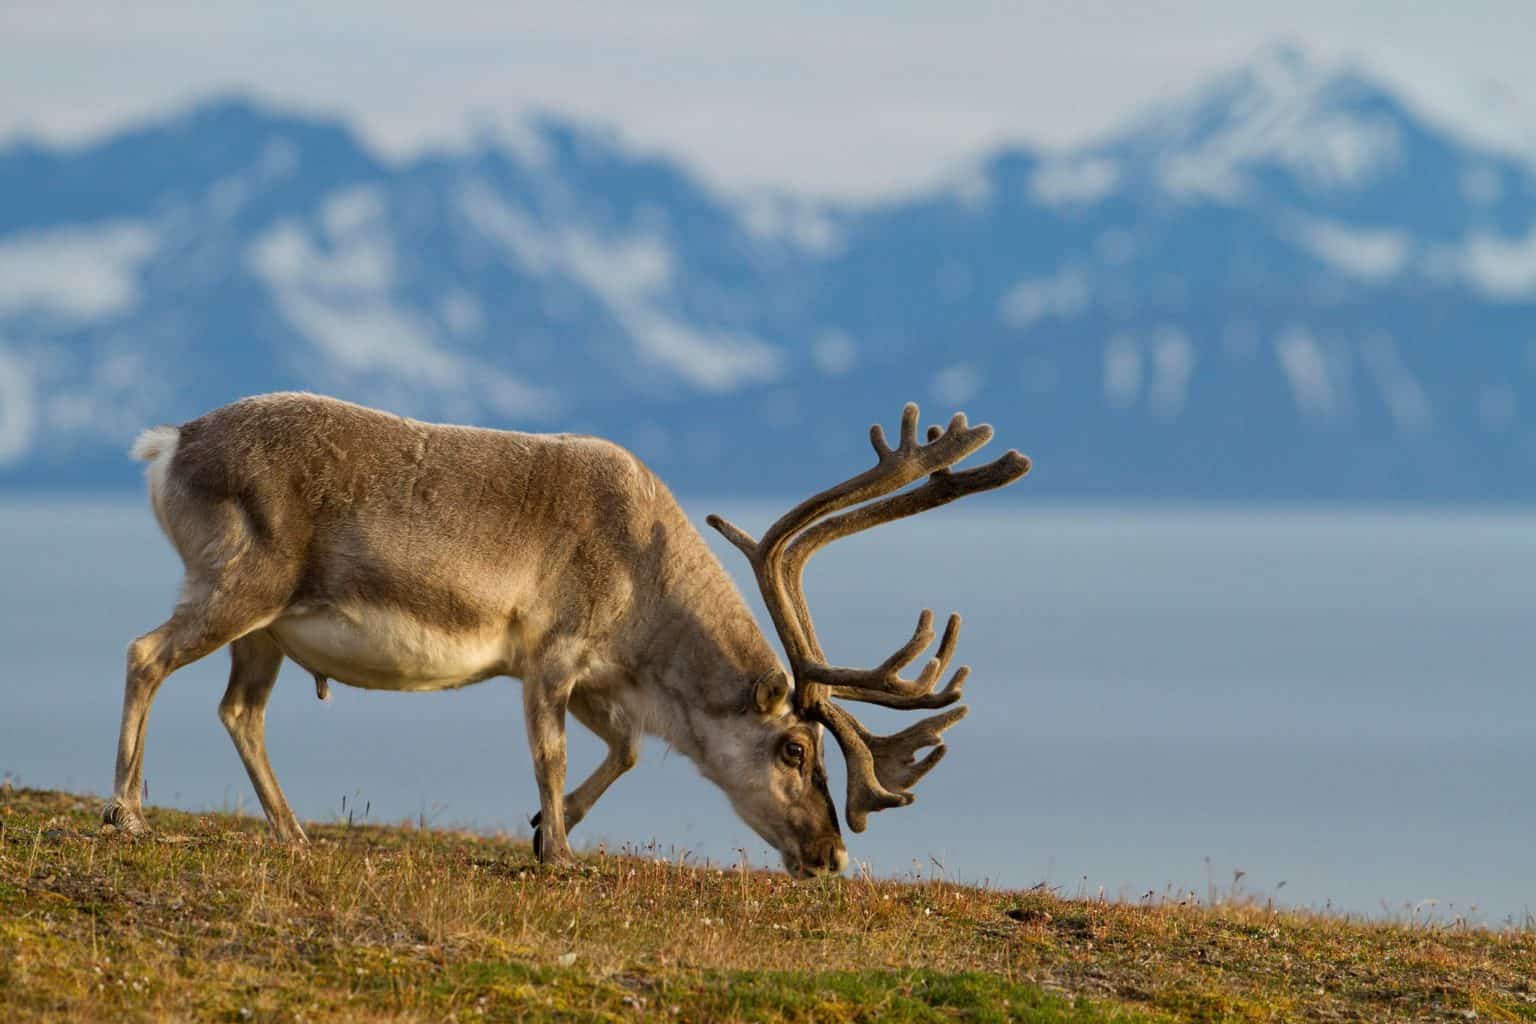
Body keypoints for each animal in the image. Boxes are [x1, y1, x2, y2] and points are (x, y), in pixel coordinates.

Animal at [105, 392, 1029, 876]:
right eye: (796, 750)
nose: (830, 854)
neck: (648, 596)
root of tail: (170, 443)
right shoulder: (551, 657)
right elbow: (549, 756)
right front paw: (559, 854)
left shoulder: (598, 679)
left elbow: (624, 752)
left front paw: (549, 830)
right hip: (240, 587)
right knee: (145, 653)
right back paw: (128, 814)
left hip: (266, 628)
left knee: (240, 711)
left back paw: (293, 832)